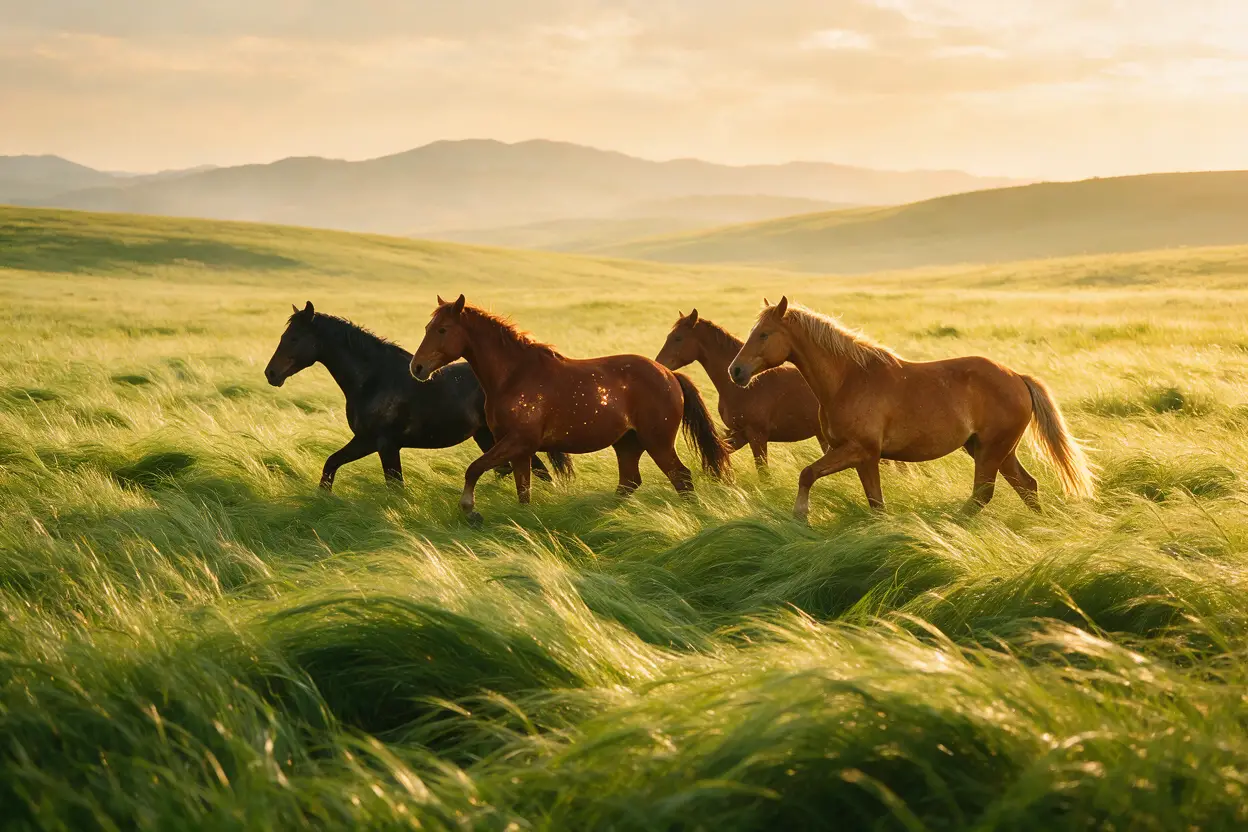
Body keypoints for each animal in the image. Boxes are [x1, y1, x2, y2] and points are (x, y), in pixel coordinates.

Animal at [264, 301, 572, 491]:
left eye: (293, 338)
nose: (271, 373)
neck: (373, 379)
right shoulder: (368, 442)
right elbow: (330, 465)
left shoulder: (383, 444)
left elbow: (394, 486)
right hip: (486, 437)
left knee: (539, 471)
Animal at [408, 295, 731, 525]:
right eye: (427, 328)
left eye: (442, 329)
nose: (417, 367)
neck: (514, 376)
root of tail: (669, 374)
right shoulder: (519, 449)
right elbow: (523, 491)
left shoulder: (517, 442)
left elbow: (474, 468)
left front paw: (471, 510)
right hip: (627, 444)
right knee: (629, 482)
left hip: (657, 442)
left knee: (681, 478)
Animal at [728, 296, 1094, 521]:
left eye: (764, 334)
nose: (736, 371)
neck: (849, 379)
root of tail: (1017, 377)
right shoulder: (858, 456)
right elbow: (873, 502)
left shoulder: (860, 451)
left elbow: (808, 474)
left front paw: (801, 516)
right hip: (991, 450)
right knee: (1026, 486)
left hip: (992, 451)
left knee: (983, 495)